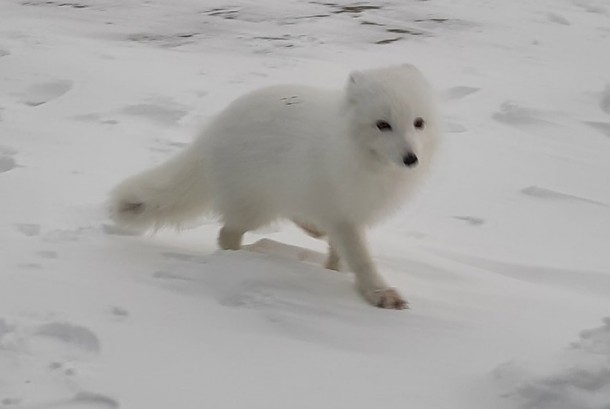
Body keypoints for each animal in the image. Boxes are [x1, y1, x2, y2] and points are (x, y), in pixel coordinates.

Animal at [110, 65, 436, 310]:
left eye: (418, 123)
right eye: (383, 125)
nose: (411, 158)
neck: (367, 162)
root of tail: (212, 131)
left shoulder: (345, 209)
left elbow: (340, 254)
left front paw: (334, 271)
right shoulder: (343, 213)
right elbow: (362, 259)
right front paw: (379, 293)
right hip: (256, 207)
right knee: (226, 234)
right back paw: (245, 256)